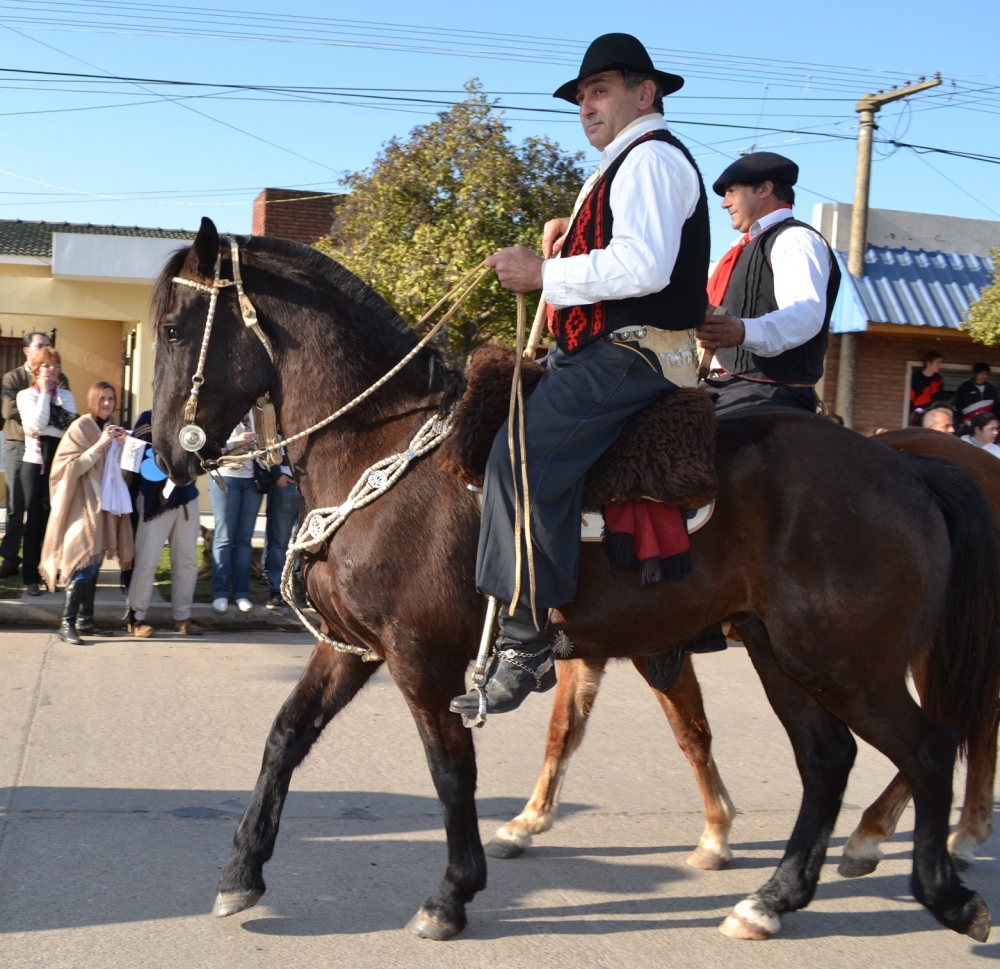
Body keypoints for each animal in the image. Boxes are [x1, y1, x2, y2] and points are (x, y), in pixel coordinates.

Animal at [488, 432, 1000, 876]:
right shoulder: (590, 648)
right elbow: (566, 730)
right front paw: (526, 823)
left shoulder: (649, 648)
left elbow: (690, 734)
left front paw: (717, 833)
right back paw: (952, 834)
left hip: (894, 660)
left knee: (950, 728)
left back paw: (887, 835)